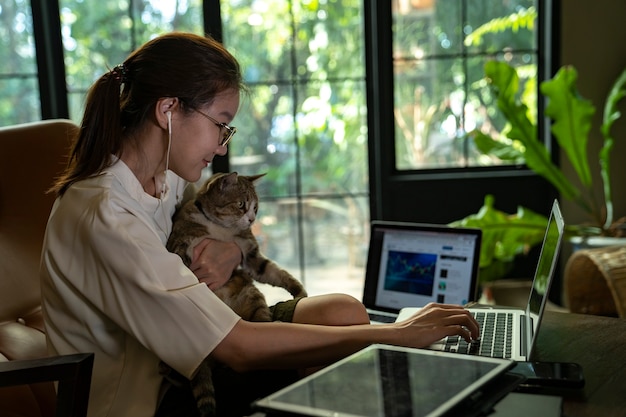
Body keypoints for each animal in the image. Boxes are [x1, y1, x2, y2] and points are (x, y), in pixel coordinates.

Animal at [161, 171, 308, 414]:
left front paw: (300, 291)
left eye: (256, 207)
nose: (252, 219)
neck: (221, 228)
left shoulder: (250, 255)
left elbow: (275, 272)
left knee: (262, 323)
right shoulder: (180, 244)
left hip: (252, 295)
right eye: (241, 205)